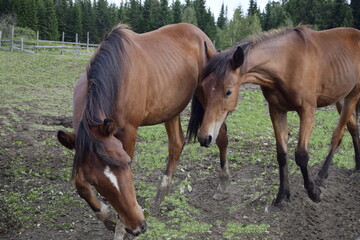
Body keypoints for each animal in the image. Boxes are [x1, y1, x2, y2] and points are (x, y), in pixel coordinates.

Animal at [56, 23, 221, 236]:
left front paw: (120, 227)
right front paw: (106, 216)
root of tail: (201, 35)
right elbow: (79, 184)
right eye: (94, 181)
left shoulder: (128, 132)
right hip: (170, 110)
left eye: (126, 164)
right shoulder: (83, 147)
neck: (116, 76)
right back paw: (160, 198)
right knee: (176, 144)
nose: (137, 227)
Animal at [188, 26, 360, 206]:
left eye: (228, 92)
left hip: (353, 95)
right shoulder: (277, 111)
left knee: (338, 135)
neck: (288, 63)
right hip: (341, 98)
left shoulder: (307, 111)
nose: (204, 137)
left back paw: (322, 175)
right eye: (203, 89)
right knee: (353, 128)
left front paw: (313, 192)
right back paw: (356, 168)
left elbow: (301, 155)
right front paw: (281, 196)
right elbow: (282, 154)